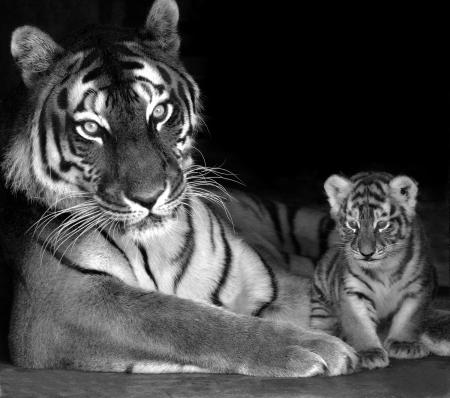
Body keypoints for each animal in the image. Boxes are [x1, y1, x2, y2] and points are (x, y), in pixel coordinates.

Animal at [0, 0, 358, 376]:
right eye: (90, 128)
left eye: (159, 112)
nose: (148, 198)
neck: (157, 246)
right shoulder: (64, 301)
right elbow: (184, 320)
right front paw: (316, 347)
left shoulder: (270, 283)